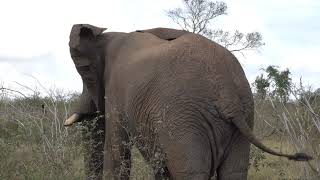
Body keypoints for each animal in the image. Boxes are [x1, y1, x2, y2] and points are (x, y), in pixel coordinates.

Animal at [63, 24, 312, 180]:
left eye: (85, 72)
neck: (109, 35)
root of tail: (228, 95)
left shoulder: (116, 91)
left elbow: (116, 151)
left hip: (184, 119)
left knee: (190, 173)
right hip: (243, 112)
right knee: (234, 172)